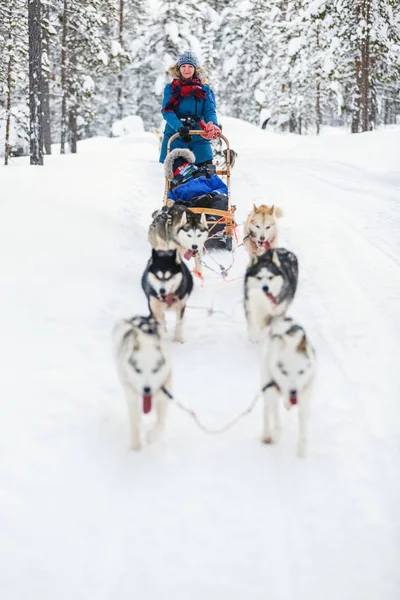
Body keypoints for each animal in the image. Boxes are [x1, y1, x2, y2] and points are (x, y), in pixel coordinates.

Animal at [111, 314, 171, 450]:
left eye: (155, 369)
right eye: (138, 370)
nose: (147, 389)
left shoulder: (164, 397)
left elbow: (161, 424)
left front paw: (151, 437)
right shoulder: (132, 398)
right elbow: (134, 423)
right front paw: (135, 447)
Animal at [260, 316, 318, 458]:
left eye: (301, 372)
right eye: (284, 372)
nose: (293, 392)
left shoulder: (305, 396)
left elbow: (303, 422)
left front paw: (301, 453)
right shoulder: (271, 390)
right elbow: (276, 418)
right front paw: (275, 434)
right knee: (266, 409)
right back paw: (267, 433)